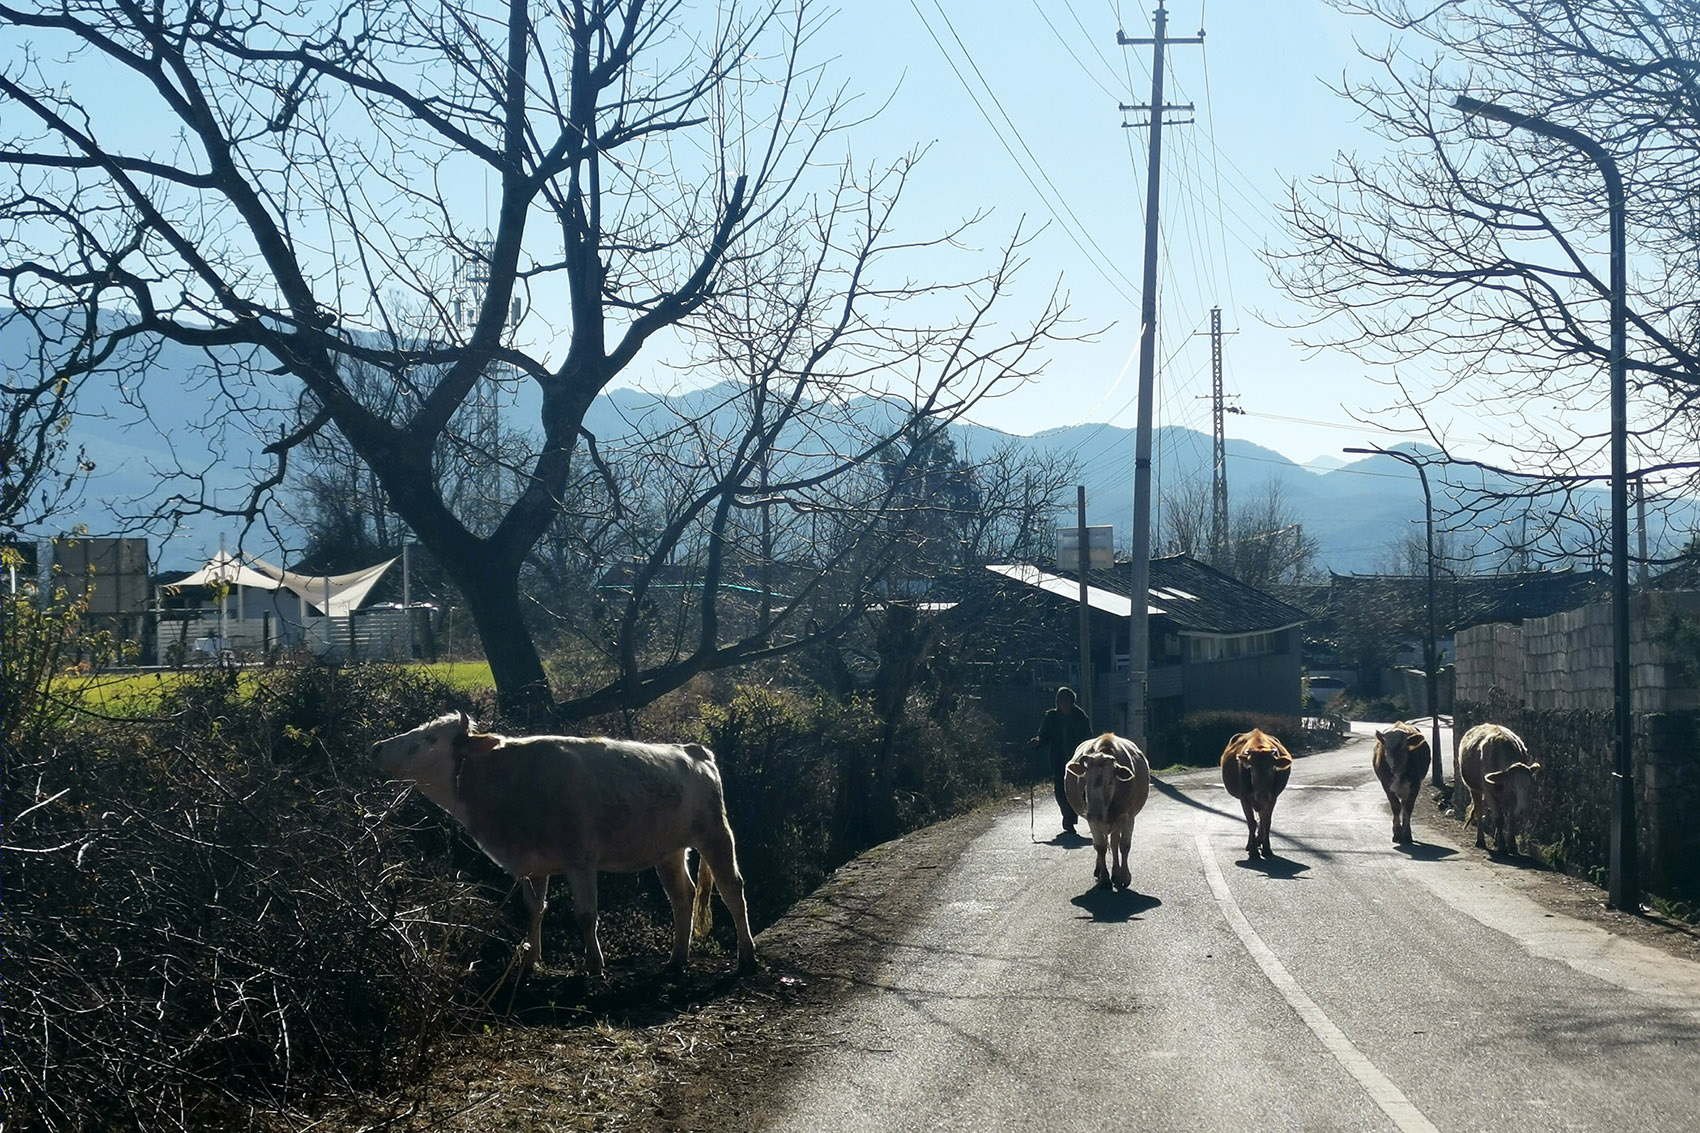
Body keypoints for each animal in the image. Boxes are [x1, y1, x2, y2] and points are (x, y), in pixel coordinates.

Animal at [375, 711, 754, 973]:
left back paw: (746, 958)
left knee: (732, 890)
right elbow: (534, 910)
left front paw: (594, 966)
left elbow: (585, 915)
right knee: (682, 896)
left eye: (430, 739)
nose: (378, 747)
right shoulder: (531, 866)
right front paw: (531, 961)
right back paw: (676, 960)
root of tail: (693, 749)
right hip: (669, 850)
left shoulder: (580, 860)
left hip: (715, 834)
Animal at [1060, 731, 1156, 891]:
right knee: (1104, 843)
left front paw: (1124, 876)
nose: (1095, 812)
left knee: (1115, 842)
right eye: (1085, 779)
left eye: (1110, 781)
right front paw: (1104, 877)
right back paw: (1100, 870)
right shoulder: (1092, 819)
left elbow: (1124, 845)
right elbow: (1100, 847)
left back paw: (1116, 872)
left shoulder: (1128, 816)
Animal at [1224, 724, 1285, 857]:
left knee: (1261, 820)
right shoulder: (1244, 798)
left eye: (1272, 768)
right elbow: (1251, 822)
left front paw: (1266, 848)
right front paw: (1253, 850)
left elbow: (1266, 822)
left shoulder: (1272, 798)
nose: (1262, 795)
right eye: (1251, 769)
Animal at [1448, 717, 1543, 850]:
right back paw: (1481, 840)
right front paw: (1502, 845)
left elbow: (1511, 819)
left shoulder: (1511, 799)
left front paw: (1511, 844)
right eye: (1513, 785)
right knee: (1480, 811)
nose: (1525, 809)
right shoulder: (1489, 792)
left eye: (1531, 785)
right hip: (1474, 789)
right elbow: (1498, 818)